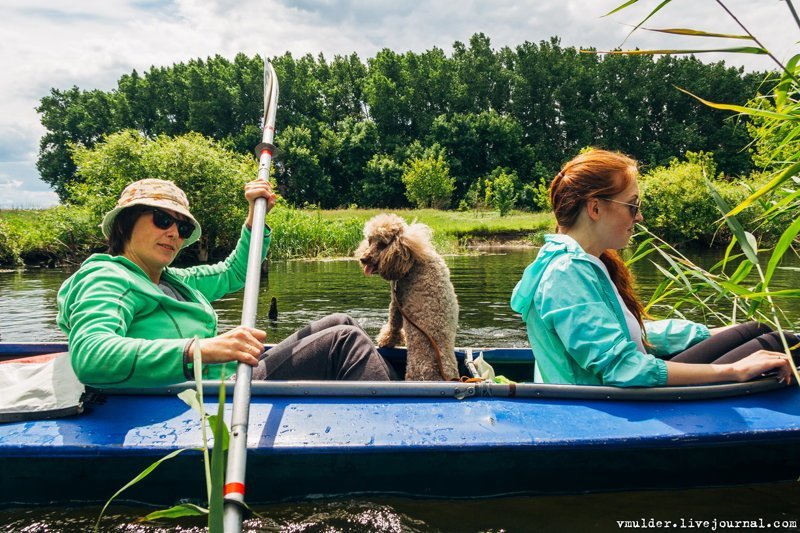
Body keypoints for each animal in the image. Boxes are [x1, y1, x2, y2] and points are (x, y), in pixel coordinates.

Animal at [354, 211, 460, 378]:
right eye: (369, 241)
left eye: (383, 244)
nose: (363, 259)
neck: (412, 260)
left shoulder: (397, 300)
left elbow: (393, 322)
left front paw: (387, 340)